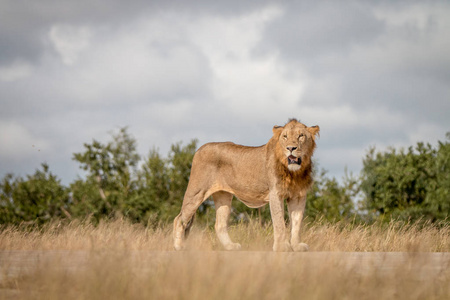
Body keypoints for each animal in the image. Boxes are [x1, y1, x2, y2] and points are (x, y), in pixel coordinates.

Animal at [173, 118, 320, 252]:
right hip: (196, 192)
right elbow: (279, 222)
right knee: (179, 219)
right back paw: (179, 246)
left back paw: (230, 246)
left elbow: (297, 223)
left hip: (223, 196)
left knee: (219, 225)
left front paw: (296, 246)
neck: (295, 172)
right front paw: (281, 247)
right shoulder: (275, 193)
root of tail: (199, 149)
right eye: (285, 136)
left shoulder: (298, 196)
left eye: (301, 136)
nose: (290, 148)